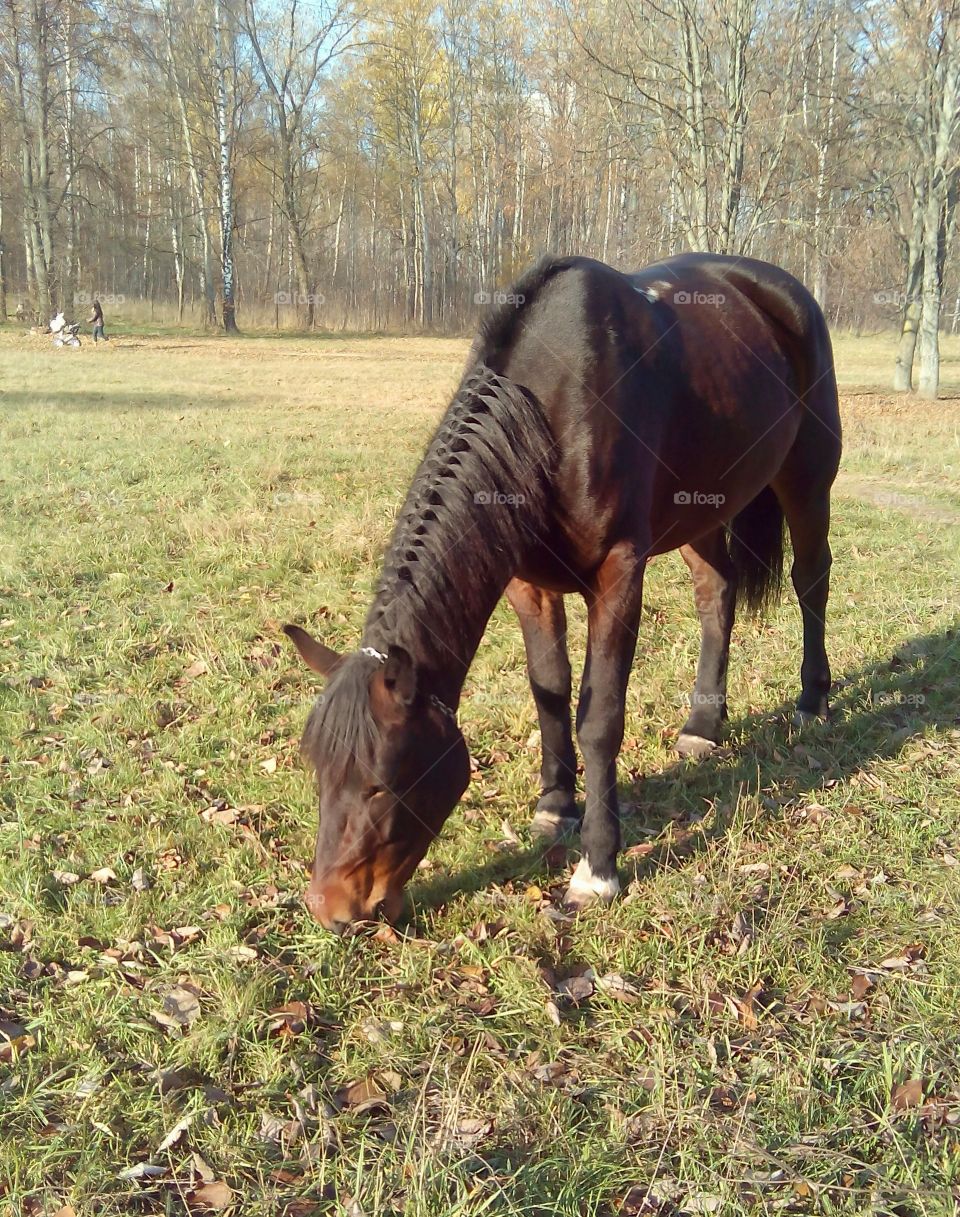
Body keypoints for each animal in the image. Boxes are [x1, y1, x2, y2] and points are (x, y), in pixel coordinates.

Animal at [282, 251, 837, 924]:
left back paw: (812, 700)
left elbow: (598, 718)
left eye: (381, 783)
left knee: (811, 581)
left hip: (807, 477)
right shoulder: (528, 585)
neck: (549, 414)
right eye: (317, 773)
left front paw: (597, 867)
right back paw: (703, 726)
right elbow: (548, 692)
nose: (330, 906)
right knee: (717, 595)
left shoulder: (620, 574)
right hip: (703, 508)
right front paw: (554, 806)